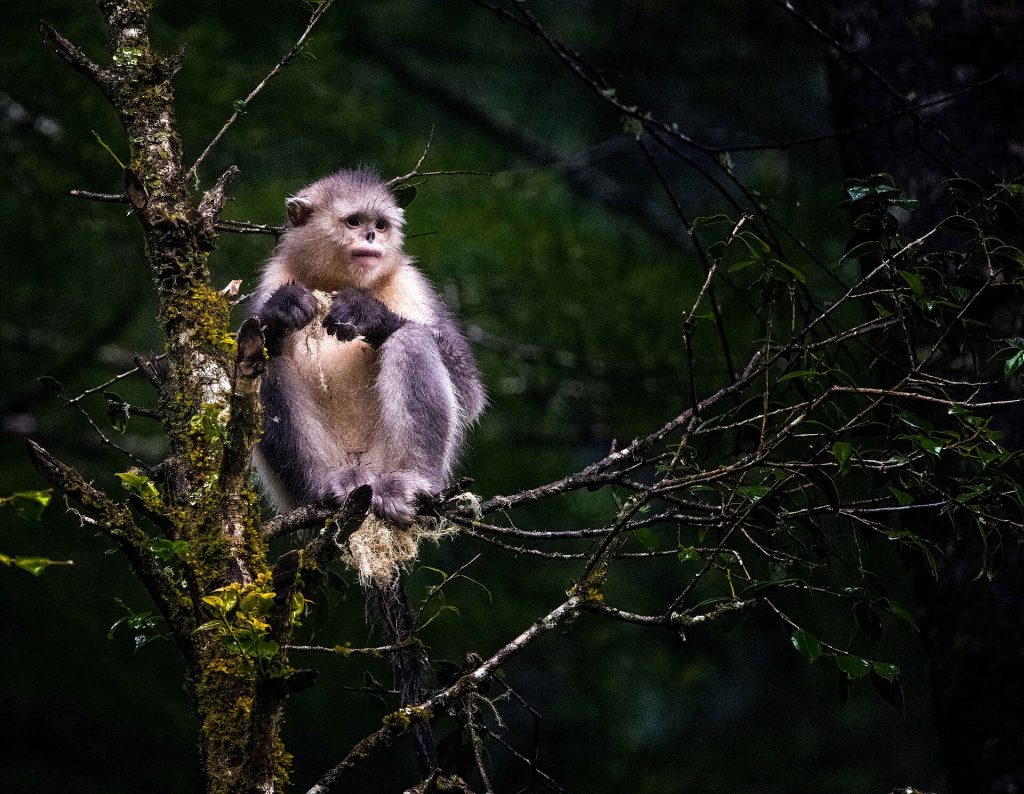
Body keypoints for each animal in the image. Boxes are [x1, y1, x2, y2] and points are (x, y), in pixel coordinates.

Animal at [250, 167, 485, 772]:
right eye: (354, 222)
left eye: (380, 224)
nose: (373, 240)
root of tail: (365, 482)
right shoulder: (268, 283)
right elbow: (259, 343)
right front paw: (285, 311)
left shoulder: (414, 285)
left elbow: (468, 391)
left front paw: (368, 316)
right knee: (272, 362)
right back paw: (328, 492)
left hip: (399, 461)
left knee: (411, 339)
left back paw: (406, 488)